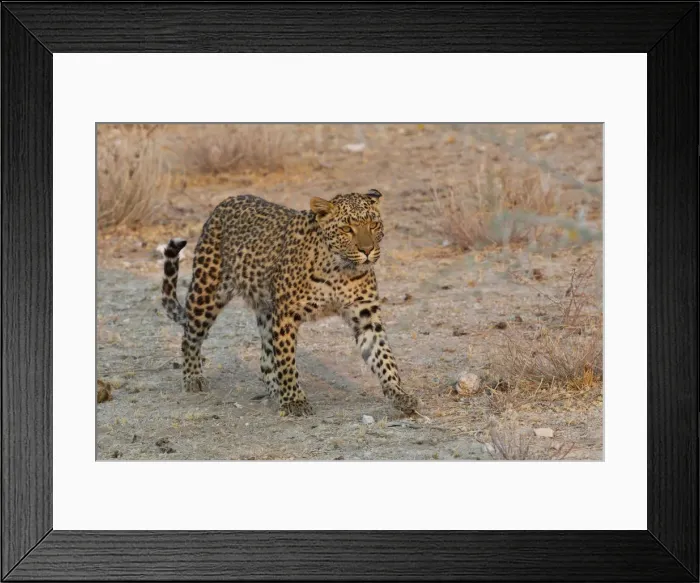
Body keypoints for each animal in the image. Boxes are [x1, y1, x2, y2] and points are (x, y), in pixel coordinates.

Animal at [161, 188, 419, 417]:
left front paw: (399, 394)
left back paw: (275, 391)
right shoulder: (286, 314)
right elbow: (286, 360)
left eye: (373, 225)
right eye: (347, 229)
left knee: (266, 360)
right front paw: (294, 400)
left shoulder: (365, 314)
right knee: (190, 336)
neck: (340, 270)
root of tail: (225, 202)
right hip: (207, 293)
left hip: (266, 309)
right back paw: (193, 377)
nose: (367, 250)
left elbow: (383, 355)